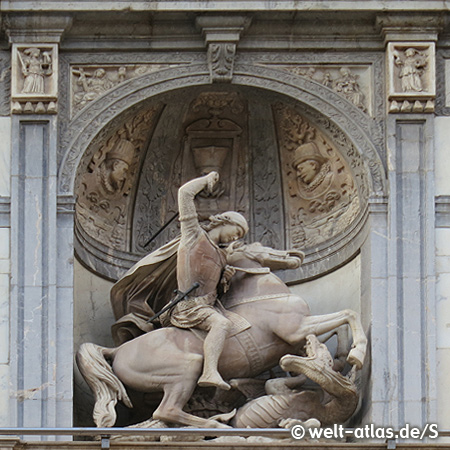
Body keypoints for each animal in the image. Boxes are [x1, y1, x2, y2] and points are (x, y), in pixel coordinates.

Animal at [76, 243, 366, 428]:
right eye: (257, 244)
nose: (294, 254)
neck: (262, 295)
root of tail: (117, 350)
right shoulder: (296, 329)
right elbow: (349, 314)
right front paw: (357, 354)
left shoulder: (296, 337)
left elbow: (339, 326)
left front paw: (341, 357)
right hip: (187, 369)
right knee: (166, 410)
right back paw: (218, 424)